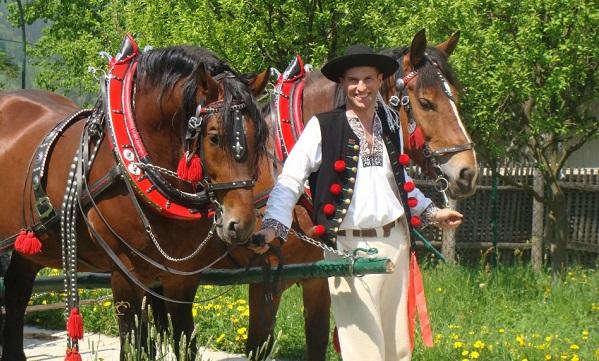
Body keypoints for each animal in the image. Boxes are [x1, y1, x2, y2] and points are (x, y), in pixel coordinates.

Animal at [0, 34, 270, 360]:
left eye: (260, 137)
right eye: (214, 137)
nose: (240, 224)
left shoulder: (182, 278)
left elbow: (183, 343)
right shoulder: (126, 275)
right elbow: (133, 346)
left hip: (29, 244)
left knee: (16, 291)